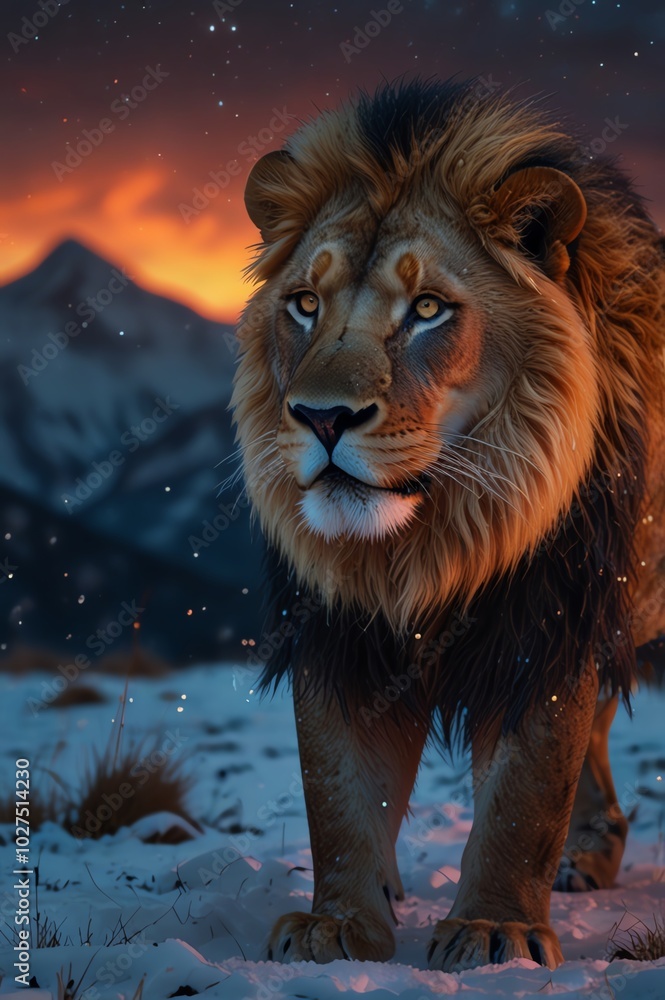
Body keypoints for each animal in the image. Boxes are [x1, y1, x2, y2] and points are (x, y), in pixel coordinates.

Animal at [230, 78, 665, 971]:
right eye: (304, 304)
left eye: (427, 308)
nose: (321, 417)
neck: (423, 545)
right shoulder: (337, 628)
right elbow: (336, 792)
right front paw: (336, 925)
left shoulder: (551, 622)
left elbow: (524, 792)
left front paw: (494, 929)